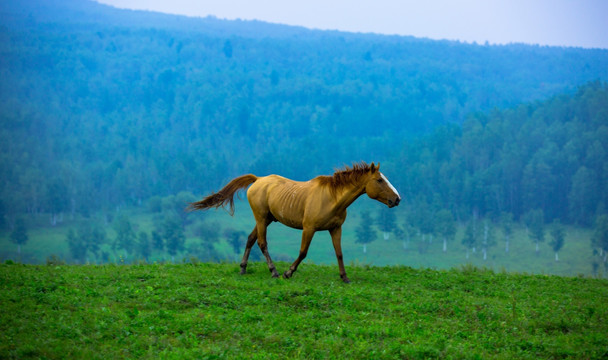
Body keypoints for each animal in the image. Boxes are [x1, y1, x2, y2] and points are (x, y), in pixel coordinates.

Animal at [188, 162, 402, 282]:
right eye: (380, 180)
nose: (397, 199)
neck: (332, 198)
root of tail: (257, 179)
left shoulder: (336, 228)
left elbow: (339, 253)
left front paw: (345, 277)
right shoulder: (309, 228)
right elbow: (303, 252)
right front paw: (288, 273)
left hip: (265, 219)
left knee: (250, 239)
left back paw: (243, 268)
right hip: (261, 218)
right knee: (262, 243)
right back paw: (274, 271)